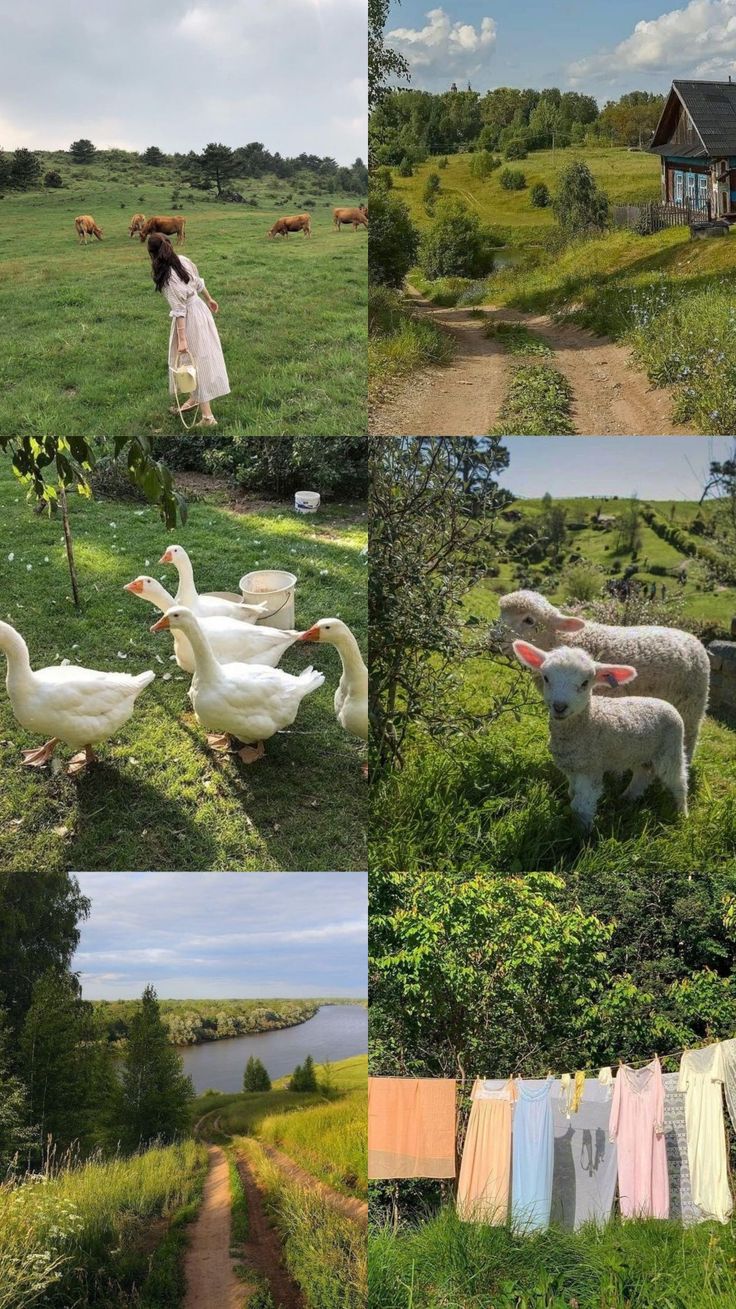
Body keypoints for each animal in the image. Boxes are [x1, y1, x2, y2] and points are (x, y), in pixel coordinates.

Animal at [495, 589, 707, 764]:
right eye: (501, 613)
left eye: (529, 620)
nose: (494, 639)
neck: (566, 639)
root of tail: (694, 640)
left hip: (692, 705)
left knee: (689, 737)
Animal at [510, 641, 686, 832]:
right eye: (546, 678)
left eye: (585, 683)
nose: (559, 707)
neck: (588, 723)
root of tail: (665, 703)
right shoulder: (572, 767)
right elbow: (572, 794)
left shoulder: (591, 768)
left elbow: (581, 805)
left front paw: (582, 832)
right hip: (639, 752)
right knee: (643, 773)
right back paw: (627, 798)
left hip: (671, 748)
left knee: (678, 781)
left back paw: (682, 813)